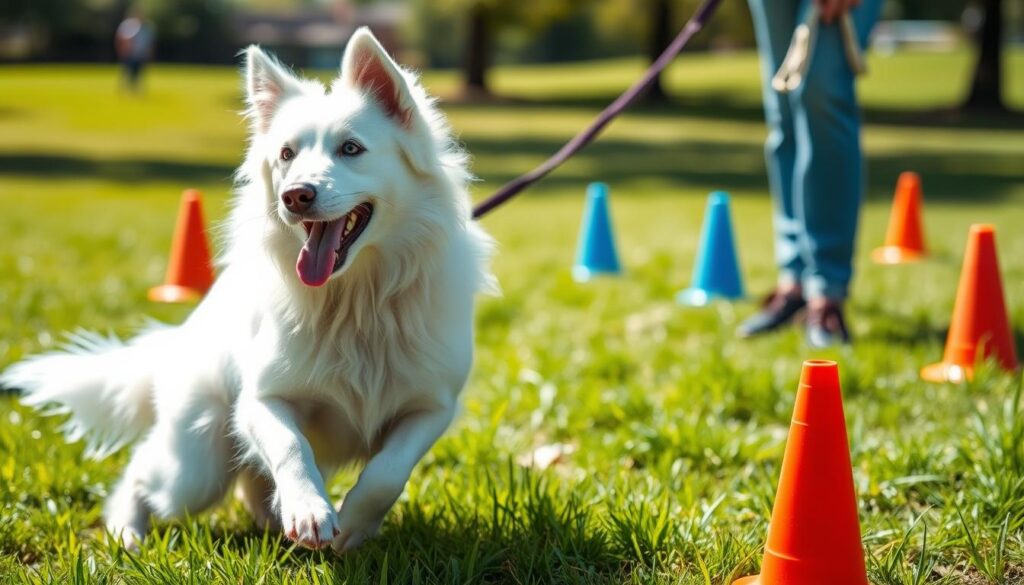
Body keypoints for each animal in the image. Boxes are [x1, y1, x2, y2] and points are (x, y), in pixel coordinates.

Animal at [1, 27, 495, 553]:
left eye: (351, 149)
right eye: (286, 155)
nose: (295, 196)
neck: (356, 299)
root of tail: (179, 338)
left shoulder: (431, 408)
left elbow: (387, 474)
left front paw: (352, 526)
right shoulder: (261, 400)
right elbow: (292, 447)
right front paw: (311, 511)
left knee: (251, 487)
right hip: (194, 467)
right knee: (140, 477)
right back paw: (128, 535)